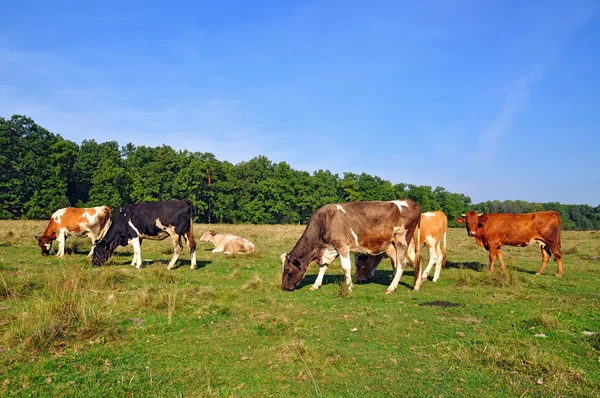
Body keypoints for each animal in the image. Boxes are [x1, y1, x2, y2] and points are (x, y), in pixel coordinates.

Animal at [282, 201, 422, 294]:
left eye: (287, 270)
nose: (284, 287)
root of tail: (411, 202)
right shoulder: (330, 249)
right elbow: (323, 267)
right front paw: (316, 285)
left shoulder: (342, 245)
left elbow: (346, 267)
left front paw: (349, 287)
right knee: (417, 260)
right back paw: (416, 285)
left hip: (401, 242)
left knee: (402, 264)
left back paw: (391, 288)